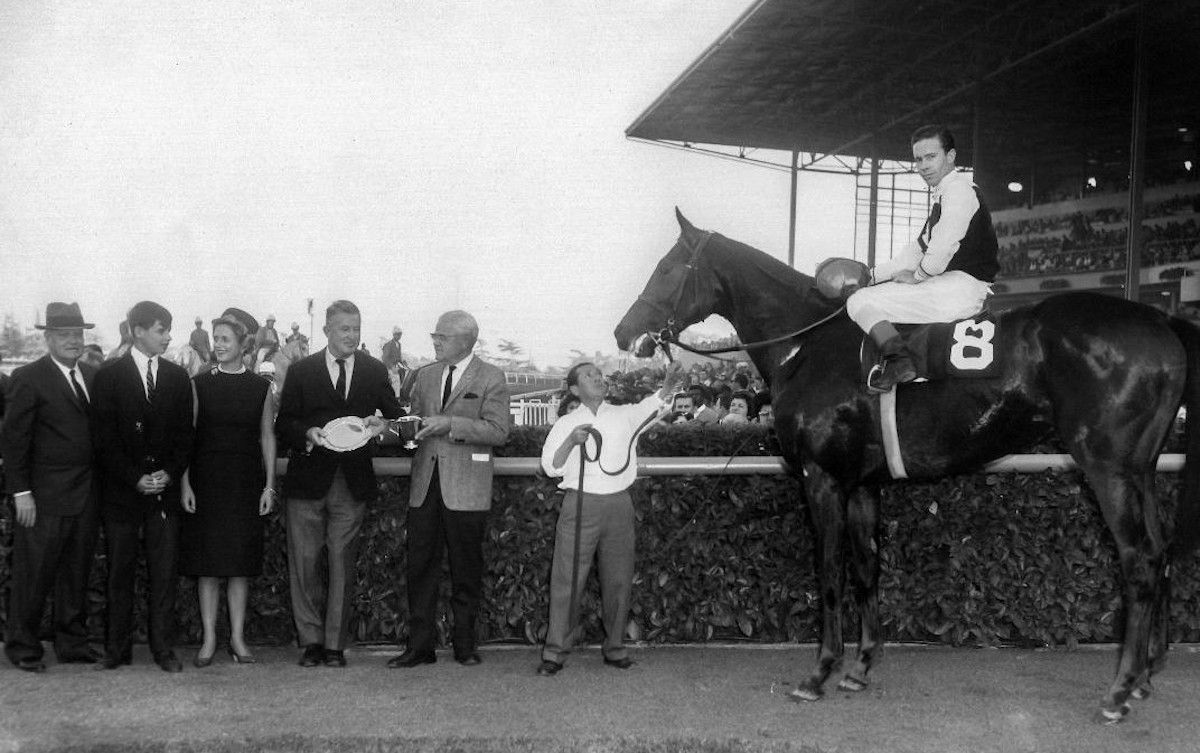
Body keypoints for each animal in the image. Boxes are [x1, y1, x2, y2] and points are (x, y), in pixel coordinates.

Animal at [619, 208, 1200, 719]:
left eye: (666, 268)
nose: (625, 332)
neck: (806, 344)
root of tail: (1157, 315)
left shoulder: (822, 479)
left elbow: (830, 575)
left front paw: (820, 673)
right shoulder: (863, 485)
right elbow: (866, 569)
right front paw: (860, 667)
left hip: (1107, 467)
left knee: (1139, 559)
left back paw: (1119, 690)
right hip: (1141, 469)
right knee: (1162, 550)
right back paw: (1145, 676)